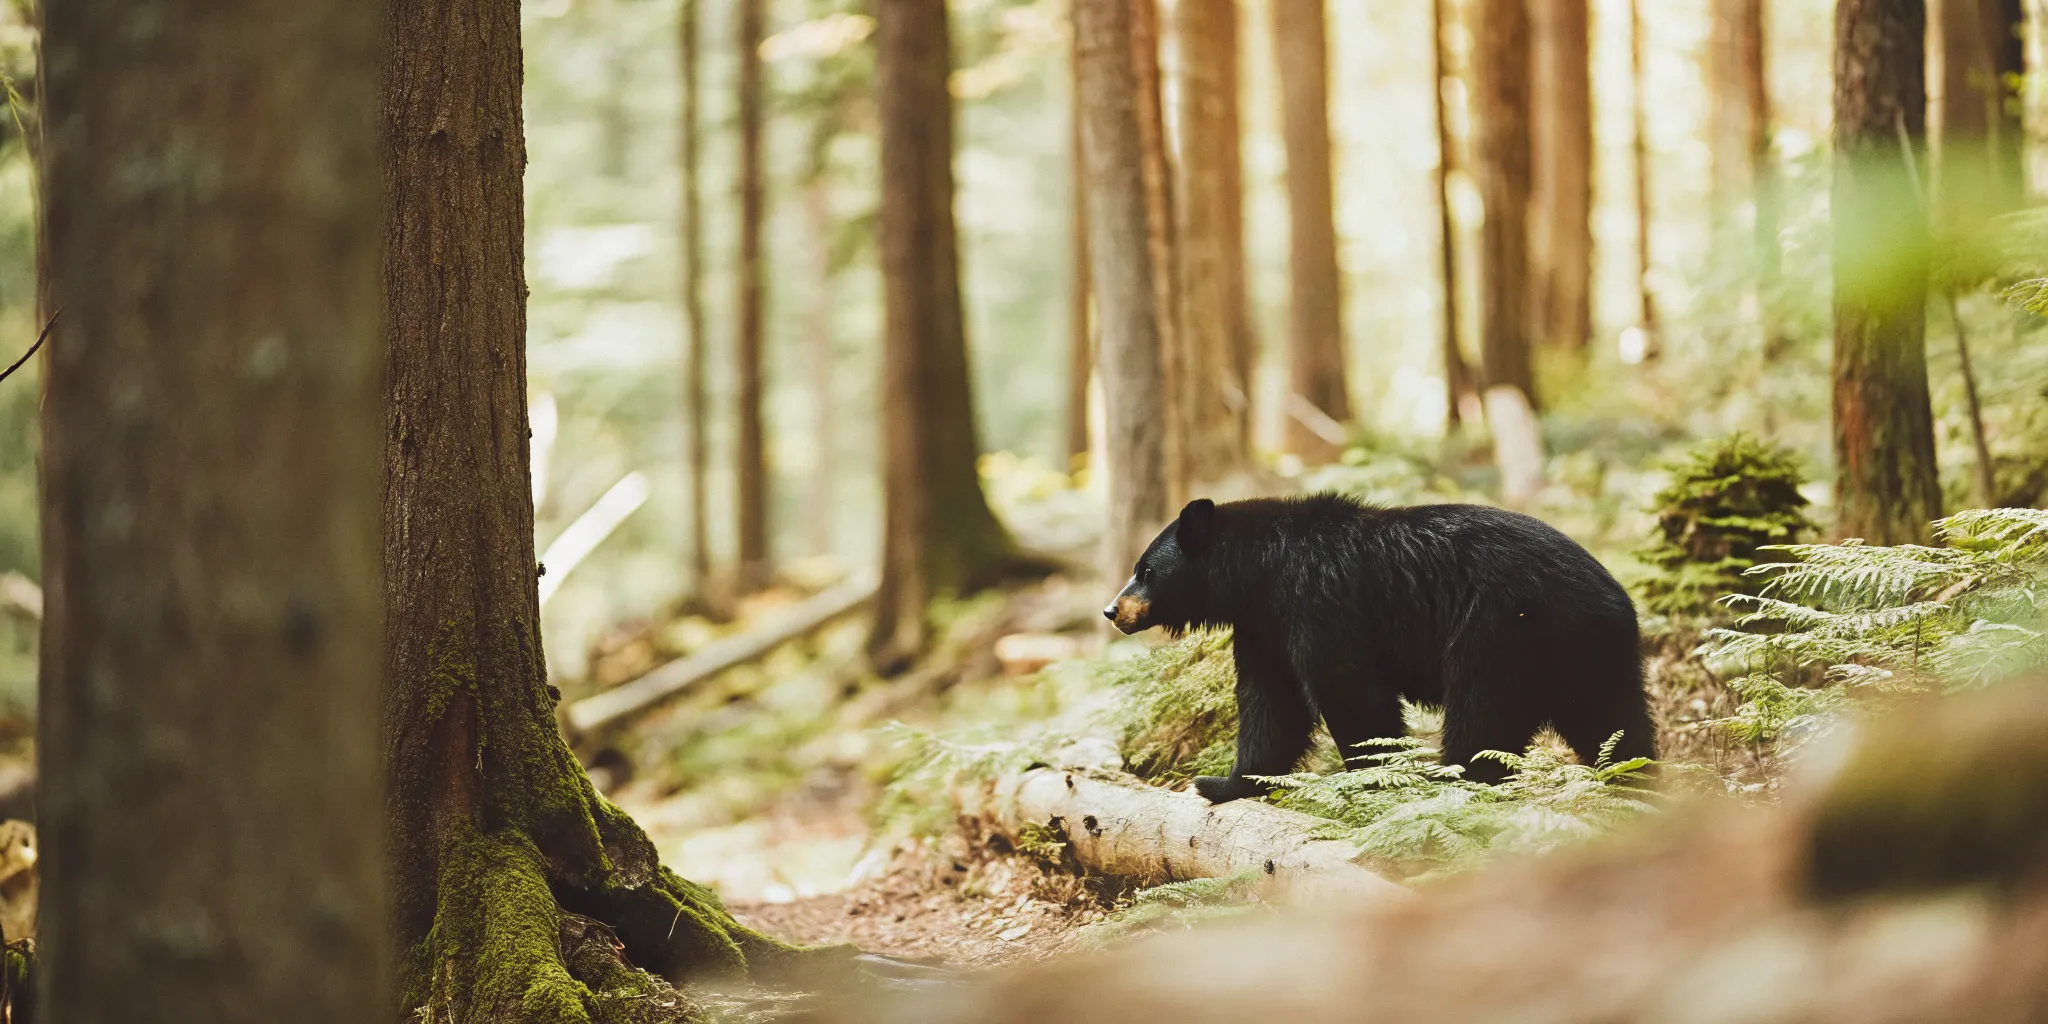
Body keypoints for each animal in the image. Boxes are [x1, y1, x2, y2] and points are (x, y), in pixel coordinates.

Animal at [1103, 494, 1655, 803]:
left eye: (1145, 570)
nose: (1111, 610)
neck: (1261, 571)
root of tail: (1613, 597)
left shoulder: (1321, 602)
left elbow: (1351, 693)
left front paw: (1373, 781)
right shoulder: (1264, 626)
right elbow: (1273, 704)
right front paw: (1226, 783)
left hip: (1502, 632)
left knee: (1483, 716)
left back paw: (1453, 781)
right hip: (1590, 654)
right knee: (1615, 722)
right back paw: (1640, 780)